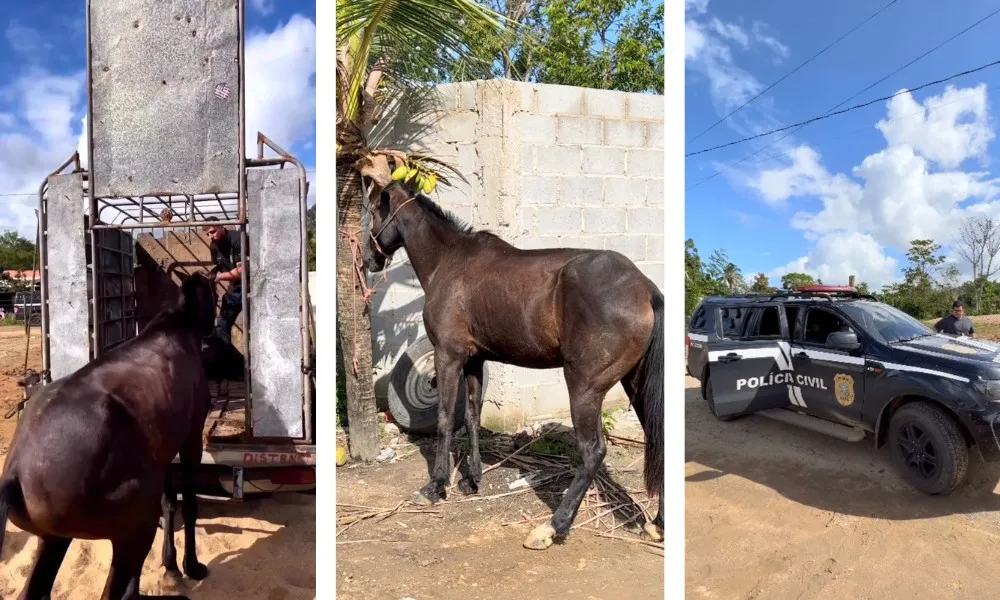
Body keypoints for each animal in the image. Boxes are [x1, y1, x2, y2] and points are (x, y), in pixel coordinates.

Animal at [0, 274, 218, 596]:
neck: (176, 326)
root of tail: (16, 472)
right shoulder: (190, 439)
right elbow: (189, 504)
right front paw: (191, 567)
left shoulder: (164, 450)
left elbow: (170, 503)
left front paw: (171, 568)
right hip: (133, 530)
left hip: (53, 539)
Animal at [362, 180, 664, 552]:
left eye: (375, 212)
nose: (369, 259)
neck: (449, 261)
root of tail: (644, 288)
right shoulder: (474, 360)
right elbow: (471, 417)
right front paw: (471, 480)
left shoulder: (447, 356)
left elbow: (445, 419)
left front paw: (435, 486)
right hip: (634, 384)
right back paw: (657, 524)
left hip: (584, 388)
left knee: (592, 451)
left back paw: (553, 527)